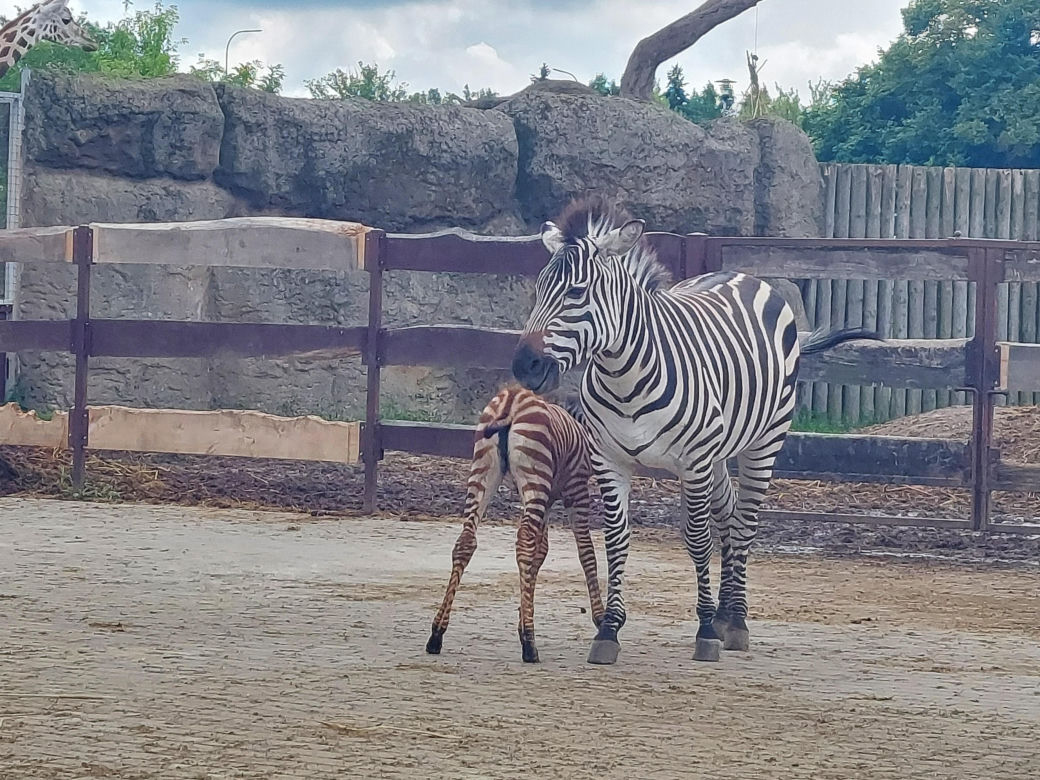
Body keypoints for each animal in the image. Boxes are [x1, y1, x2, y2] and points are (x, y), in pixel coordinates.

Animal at [426, 384, 605, 663]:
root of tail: (511, 398)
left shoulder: (545, 498)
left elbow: (540, 553)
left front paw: (523, 619)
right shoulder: (575, 489)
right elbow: (586, 553)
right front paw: (599, 618)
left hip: (484, 471)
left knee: (466, 541)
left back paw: (436, 634)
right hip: (534, 476)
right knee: (523, 542)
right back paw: (530, 645)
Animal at [511, 196, 880, 665]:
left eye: (576, 292)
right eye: (540, 288)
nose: (524, 365)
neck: (624, 375)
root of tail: (743, 275)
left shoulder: (693, 461)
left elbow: (697, 539)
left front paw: (704, 630)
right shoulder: (609, 460)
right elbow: (616, 538)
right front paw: (609, 630)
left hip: (763, 442)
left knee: (744, 523)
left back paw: (734, 622)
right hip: (719, 455)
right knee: (728, 516)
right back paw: (725, 615)